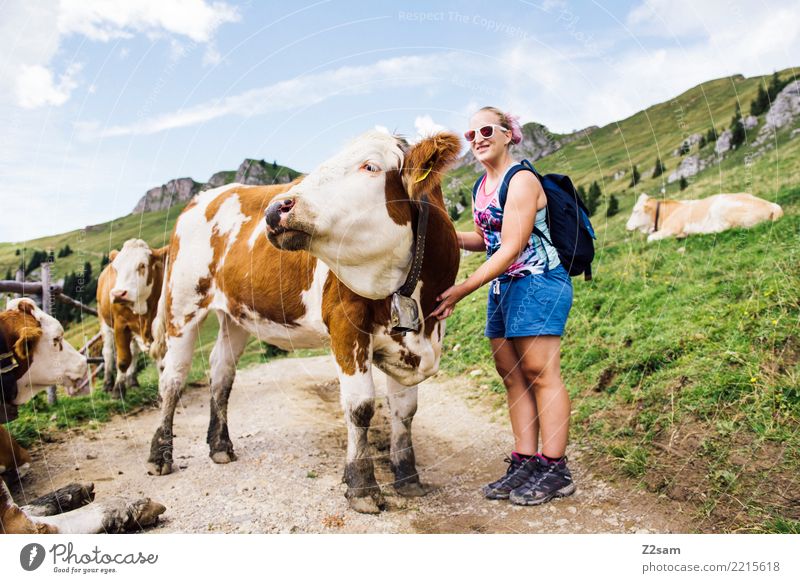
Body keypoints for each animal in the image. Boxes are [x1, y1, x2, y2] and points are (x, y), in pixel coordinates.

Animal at [97, 240, 168, 400]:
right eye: (117, 268)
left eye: (142, 265)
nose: (118, 294)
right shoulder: (120, 325)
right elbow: (123, 360)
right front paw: (118, 390)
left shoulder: (160, 326)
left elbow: (161, 361)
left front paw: (163, 391)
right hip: (104, 321)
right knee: (108, 353)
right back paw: (108, 384)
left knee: (134, 351)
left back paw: (132, 381)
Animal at [148, 131, 462, 512]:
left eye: (370, 166)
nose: (275, 208)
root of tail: (203, 198)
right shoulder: (345, 324)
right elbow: (360, 406)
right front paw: (362, 486)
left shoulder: (412, 339)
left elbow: (405, 410)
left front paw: (408, 477)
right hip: (183, 303)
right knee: (173, 378)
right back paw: (160, 455)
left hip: (237, 313)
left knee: (221, 372)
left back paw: (220, 446)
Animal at [624, 192, 780, 242]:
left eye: (635, 211)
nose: (626, 226)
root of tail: (772, 206)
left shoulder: (671, 229)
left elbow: (650, 238)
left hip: (720, 208)